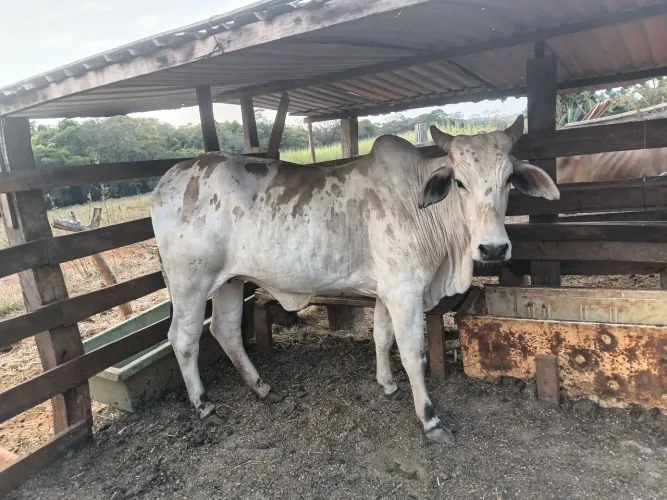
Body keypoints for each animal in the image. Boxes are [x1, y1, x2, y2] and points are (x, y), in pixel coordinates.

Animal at [151, 115, 559, 444]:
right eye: (459, 182)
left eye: (509, 180)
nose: (493, 248)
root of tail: (168, 179)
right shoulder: (404, 291)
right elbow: (413, 354)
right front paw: (430, 419)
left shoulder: (386, 291)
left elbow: (381, 337)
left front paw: (387, 384)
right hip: (191, 281)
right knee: (184, 338)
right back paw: (204, 404)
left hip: (230, 281)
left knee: (226, 330)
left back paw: (262, 387)